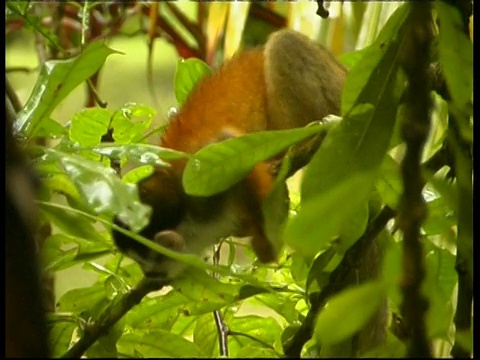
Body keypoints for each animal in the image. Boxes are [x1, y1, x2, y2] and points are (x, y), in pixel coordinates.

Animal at [112, 30, 344, 278]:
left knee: (284, 42)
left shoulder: (197, 186)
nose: (147, 275)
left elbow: (229, 144)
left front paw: (265, 245)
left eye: (144, 262)